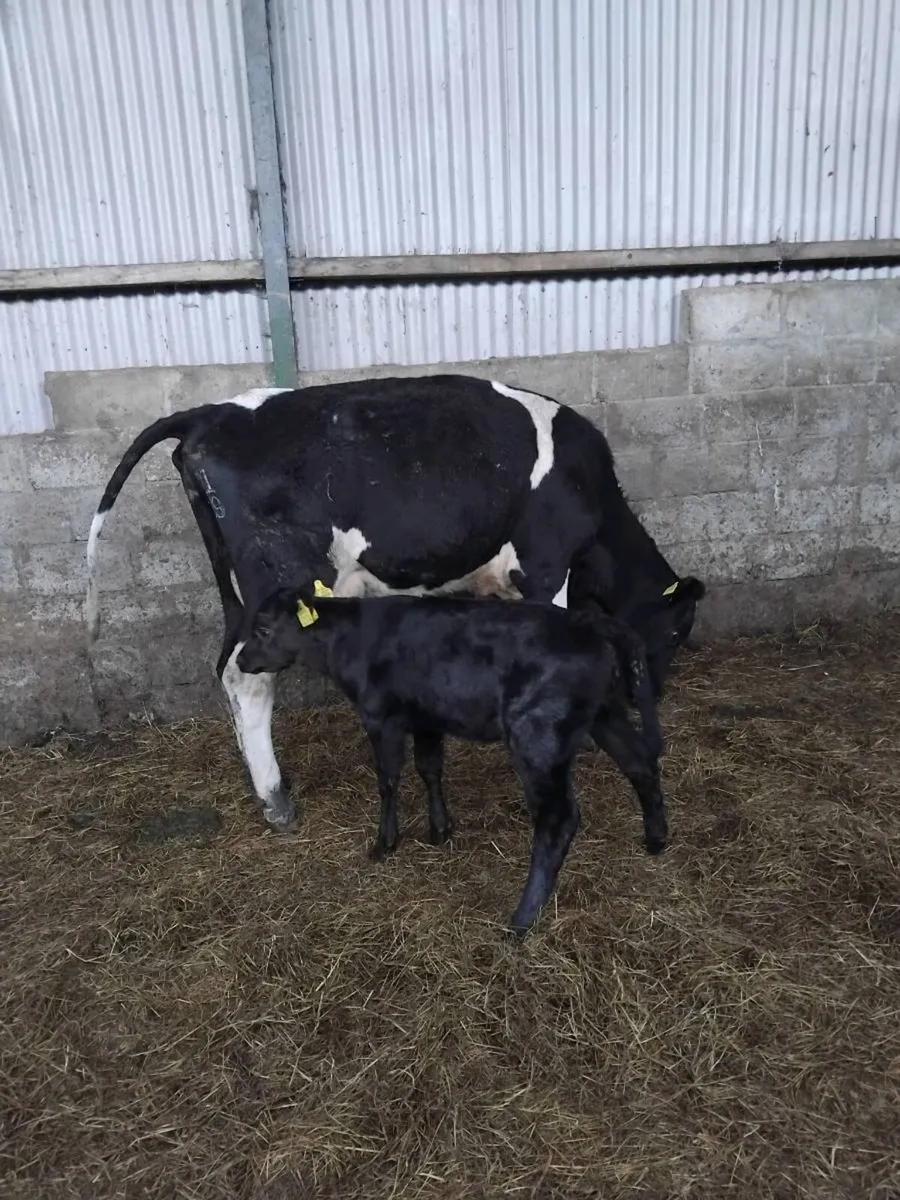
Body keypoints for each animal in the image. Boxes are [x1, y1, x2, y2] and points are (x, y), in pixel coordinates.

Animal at [84, 374, 704, 832]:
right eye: (678, 632)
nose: (659, 690)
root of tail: (209, 413)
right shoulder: (546, 565)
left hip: (234, 591)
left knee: (227, 668)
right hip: (278, 585)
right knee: (247, 678)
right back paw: (278, 803)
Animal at [237, 580, 668, 934]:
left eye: (262, 629)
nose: (241, 661)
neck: (348, 641)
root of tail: (590, 622)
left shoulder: (381, 717)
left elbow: (388, 780)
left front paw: (384, 843)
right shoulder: (427, 717)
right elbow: (430, 769)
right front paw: (440, 829)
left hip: (537, 736)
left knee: (558, 818)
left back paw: (522, 919)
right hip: (605, 713)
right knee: (640, 762)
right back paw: (656, 839)